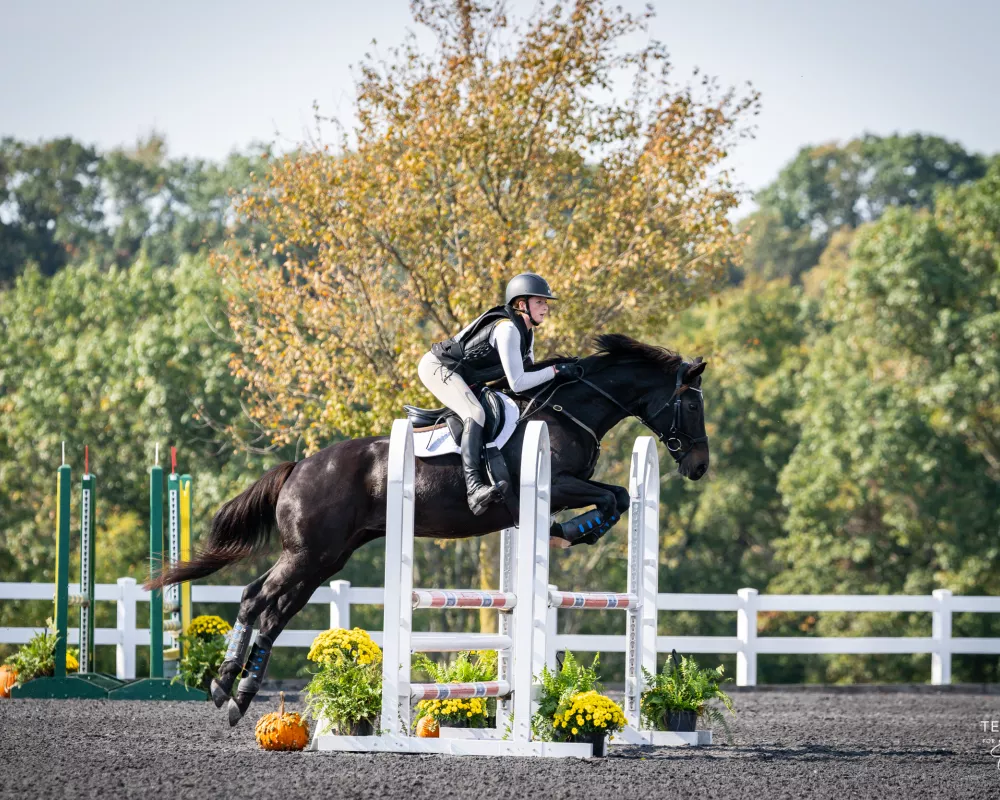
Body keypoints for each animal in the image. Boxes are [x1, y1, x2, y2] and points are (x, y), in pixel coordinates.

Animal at [148, 332, 712, 724]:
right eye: (691, 403)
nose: (700, 466)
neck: (566, 411)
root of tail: (299, 466)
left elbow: (619, 495)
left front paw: (579, 530)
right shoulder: (558, 484)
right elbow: (611, 495)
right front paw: (581, 528)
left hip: (324, 557)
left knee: (267, 606)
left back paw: (235, 695)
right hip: (309, 554)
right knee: (259, 601)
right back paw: (227, 688)